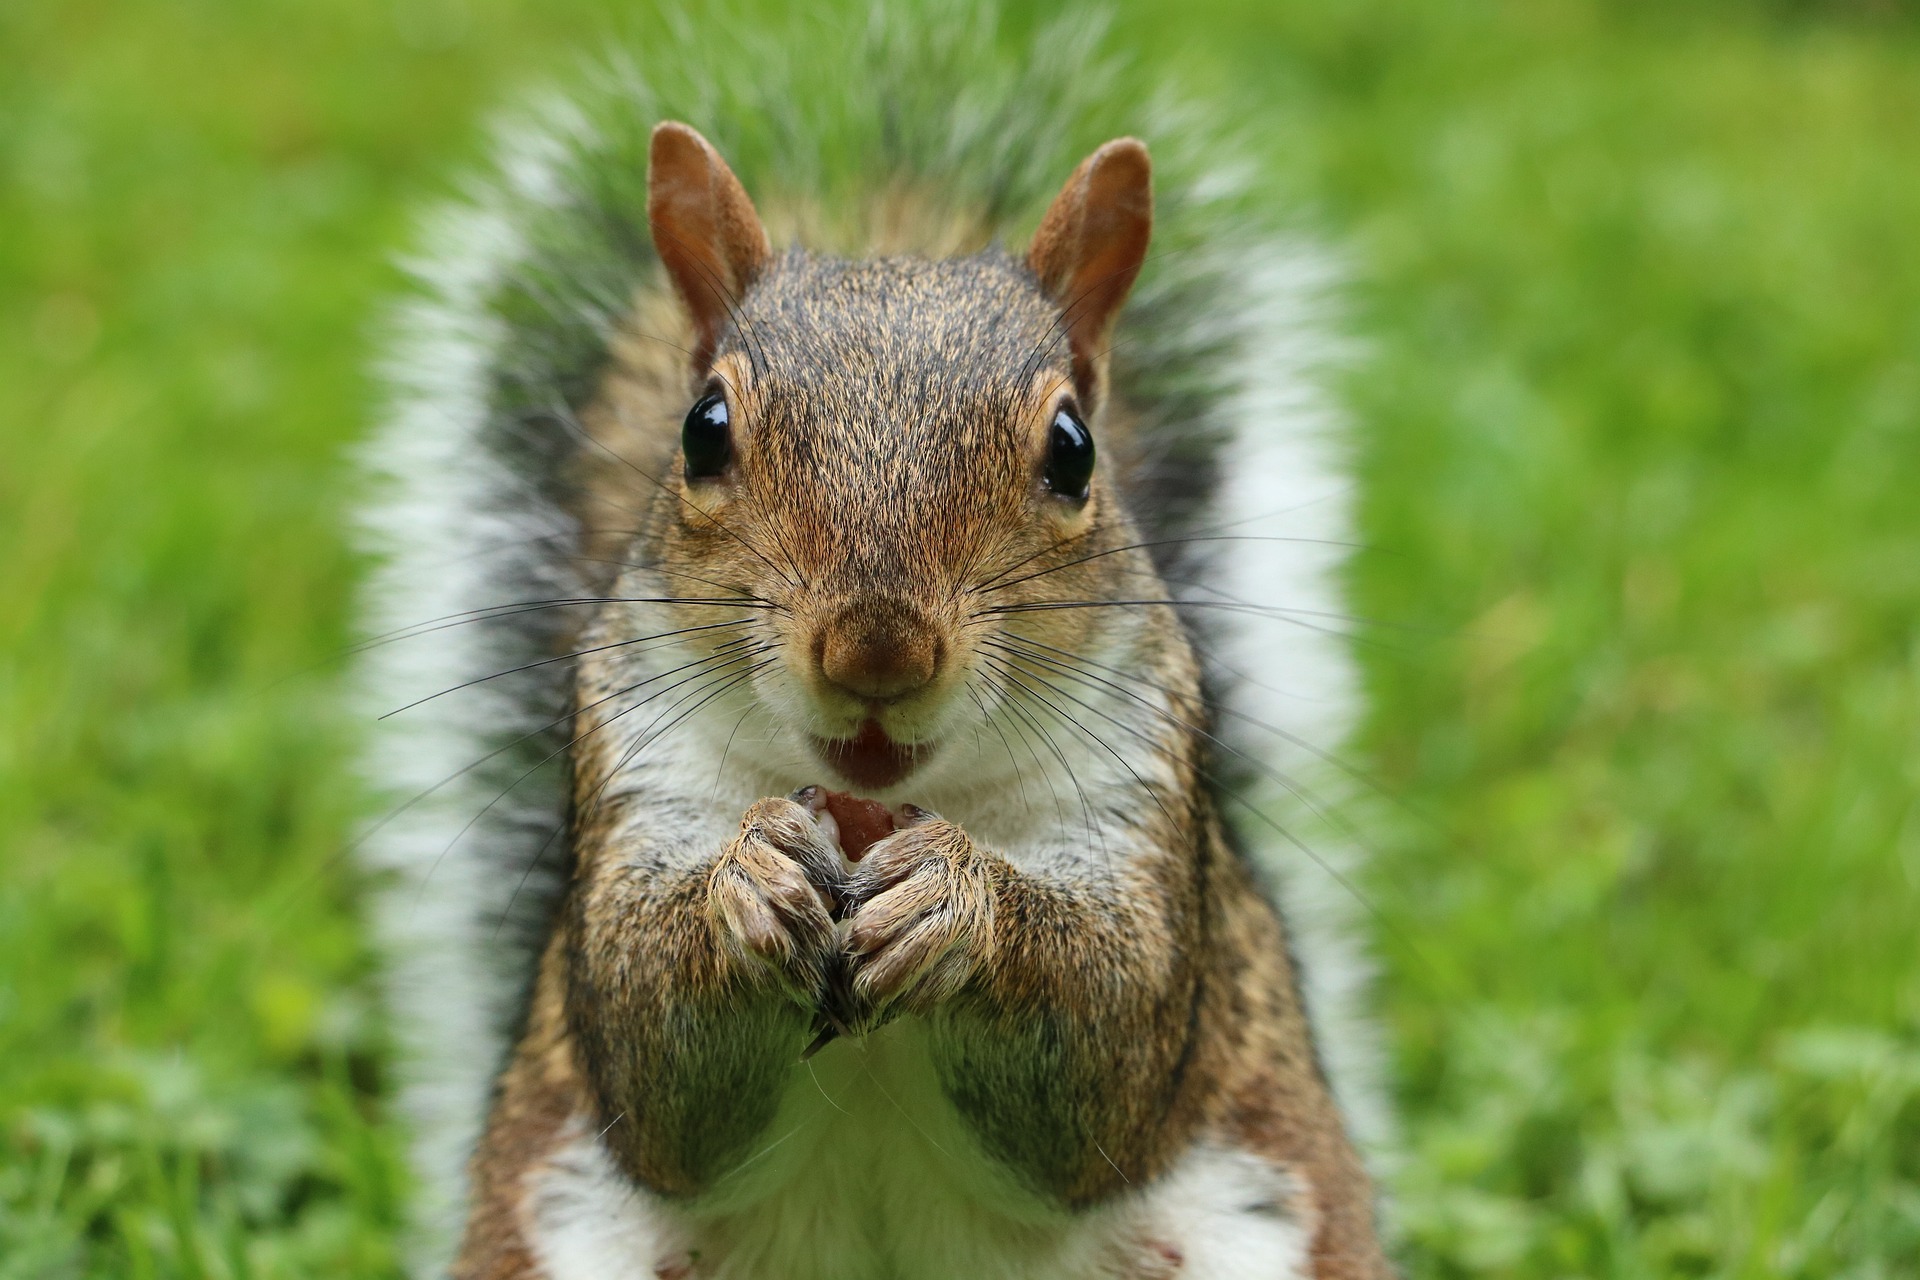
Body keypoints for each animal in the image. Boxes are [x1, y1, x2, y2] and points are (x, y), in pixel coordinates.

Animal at [353, 10, 1390, 1280]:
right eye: (702, 430)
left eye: (1073, 449)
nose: (877, 654)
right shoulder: (635, 769)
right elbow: (652, 1059)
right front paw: (748, 877)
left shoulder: (1141, 801)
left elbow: (1109, 1044)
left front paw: (958, 898)